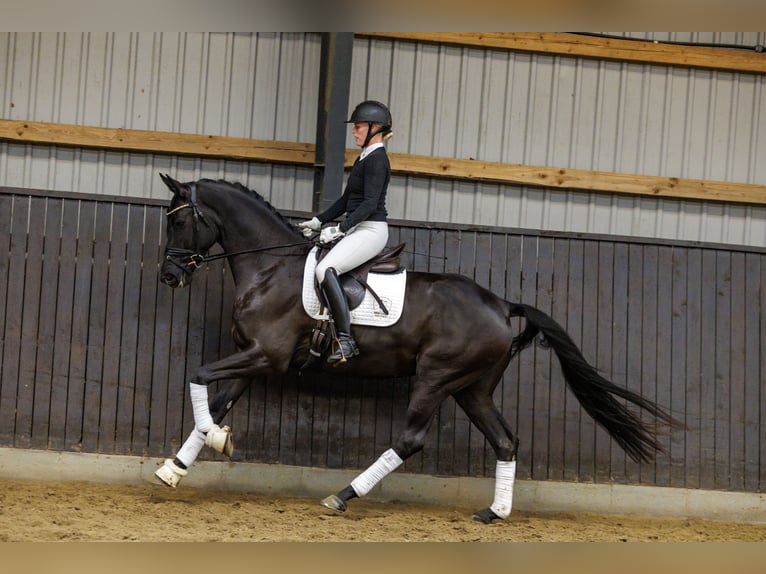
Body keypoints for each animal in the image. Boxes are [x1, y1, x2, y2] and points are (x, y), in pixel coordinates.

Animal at [154, 176, 684, 528]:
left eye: (180, 222)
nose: (169, 276)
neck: (269, 269)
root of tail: (499, 304)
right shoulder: (255, 356)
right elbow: (216, 401)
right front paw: (176, 467)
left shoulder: (266, 355)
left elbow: (198, 376)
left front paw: (216, 442)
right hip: (472, 388)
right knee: (505, 441)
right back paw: (494, 511)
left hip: (436, 377)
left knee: (411, 439)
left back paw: (343, 495)